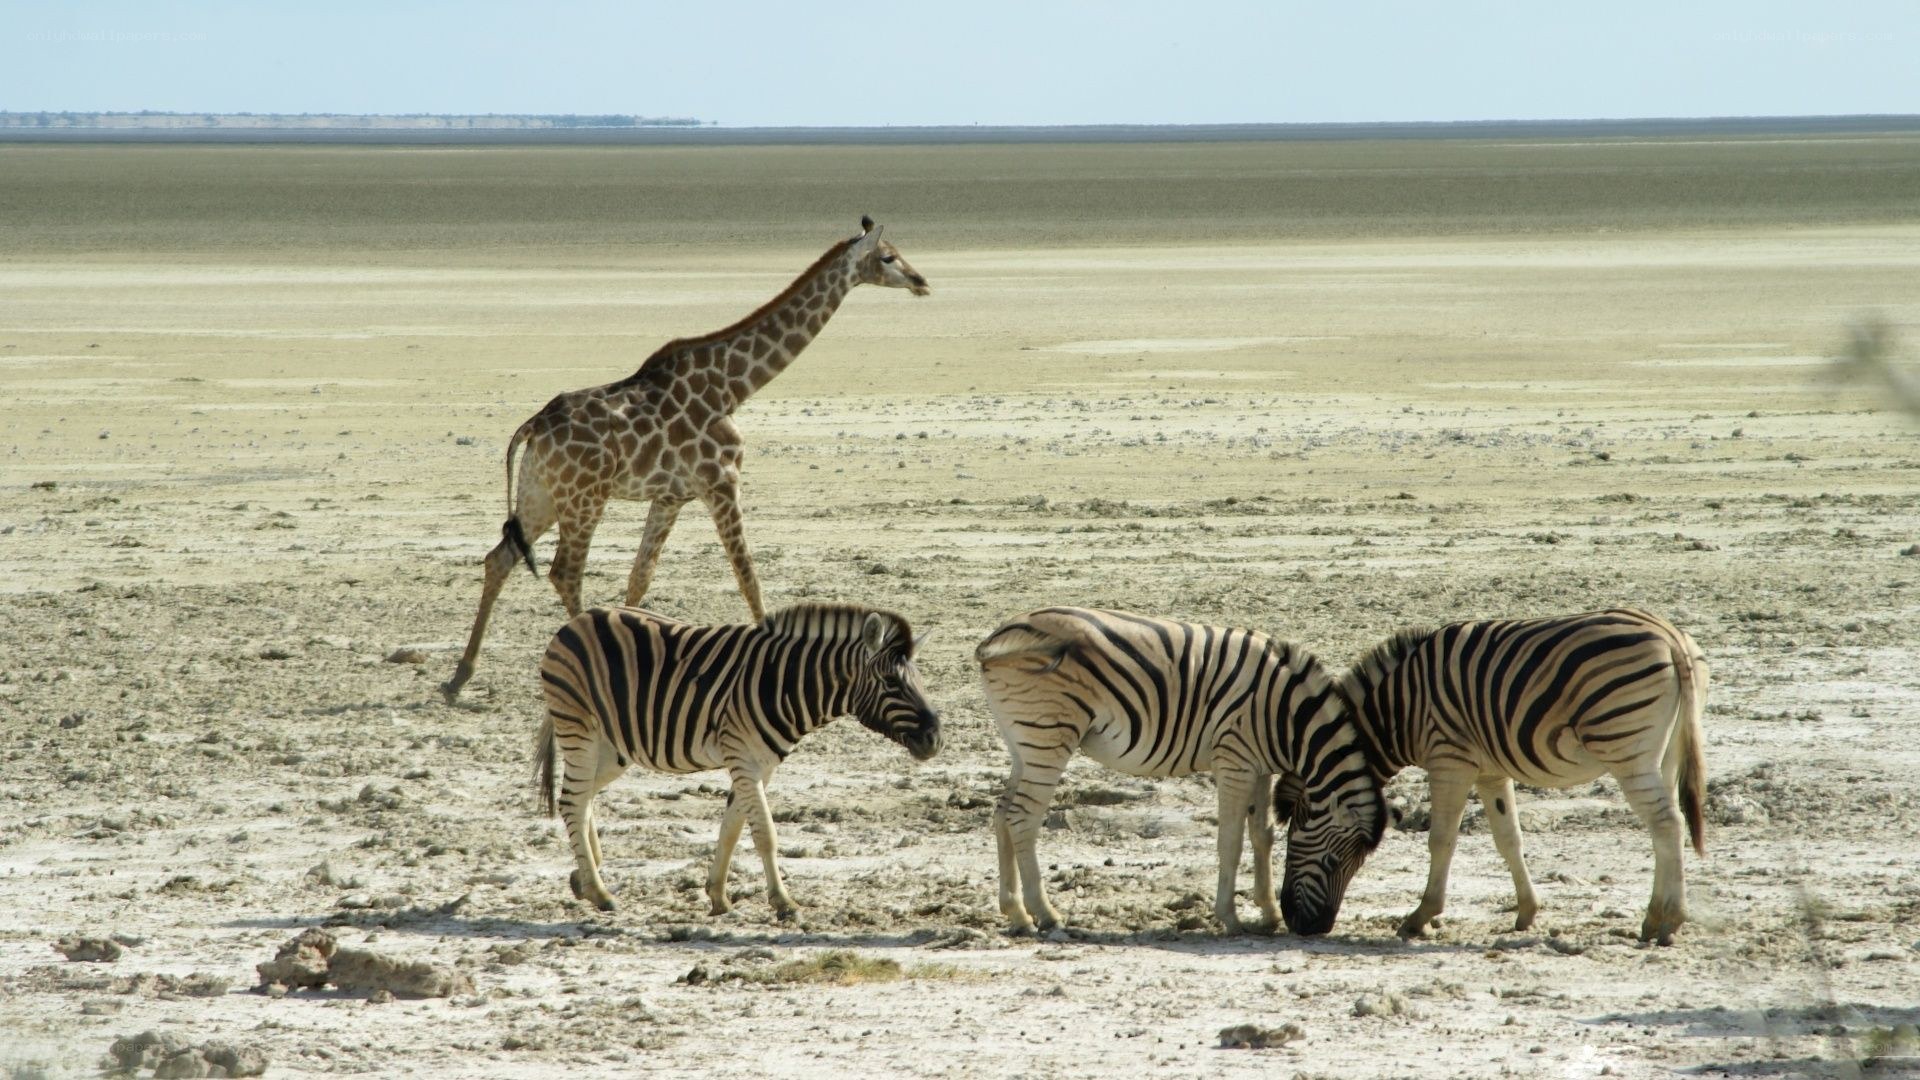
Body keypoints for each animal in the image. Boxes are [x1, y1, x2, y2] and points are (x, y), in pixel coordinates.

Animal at [441, 217, 930, 703]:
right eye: (888, 257)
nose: (921, 282)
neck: (732, 387)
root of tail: (533, 426)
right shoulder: (722, 483)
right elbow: (749, 577)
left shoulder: (672, 497)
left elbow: (640, 577)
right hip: (585, 498)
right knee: (565, 572)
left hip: (540, 494)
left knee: (500, 558)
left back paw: (459, 676)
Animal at [535, 602, 941, 916]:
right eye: (891, 683)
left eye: (921, 681)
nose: (935, 739)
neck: (786, 684)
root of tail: (577, 619)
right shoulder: (742, 757)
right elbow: (765, 834)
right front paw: (783, 903)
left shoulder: (761, 765)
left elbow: (732, 827)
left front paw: (717, 896)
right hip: (579, 726)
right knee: (572, 802)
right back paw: (599, 891)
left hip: (614, 746)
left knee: (584, 796)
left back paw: (584, 877)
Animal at [974, 607, 1387, 935]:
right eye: (1333, 862)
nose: (1316, 929)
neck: (1287, 716)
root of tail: (1000, 633)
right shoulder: (1234, 761)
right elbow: (1231, 841)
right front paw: (1231, 918)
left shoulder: (1259, 768)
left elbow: (1263, 836)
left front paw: (1268, 913)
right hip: (1048, 736)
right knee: (1022, 818)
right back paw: (1044, 915)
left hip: (1023, 743)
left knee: (1002, 814)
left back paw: (1015, 912)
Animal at [1278, 608, 1709, 945]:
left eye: (1295, 837)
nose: (1299, 924)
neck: (1400, 709)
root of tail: (1671, 637)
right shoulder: (1490, 772)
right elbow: (1509, 840)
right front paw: (1527, 911)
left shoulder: (1449, 759)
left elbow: (1441, 840)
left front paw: (1421, 917)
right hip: (1664, 752)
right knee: (1664, 827)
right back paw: (1656, 918)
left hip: (1625, 748)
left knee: (1667, 823)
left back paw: (1669, 921)